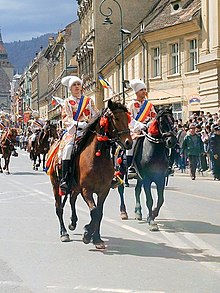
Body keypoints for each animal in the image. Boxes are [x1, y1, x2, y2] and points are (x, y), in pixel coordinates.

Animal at [48, 100, 132, 246]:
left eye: (127, 119)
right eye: (116, 118)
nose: (129, 142)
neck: (97, 158)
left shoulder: (103, 190)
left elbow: (99, 213)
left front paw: (96, 237)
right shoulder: (86, 190)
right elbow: (94, 212)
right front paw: (87, 234)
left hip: (75, 187)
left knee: (72, 199)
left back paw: (73, 223)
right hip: (56, 185)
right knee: (59, 208)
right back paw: (64, 233)